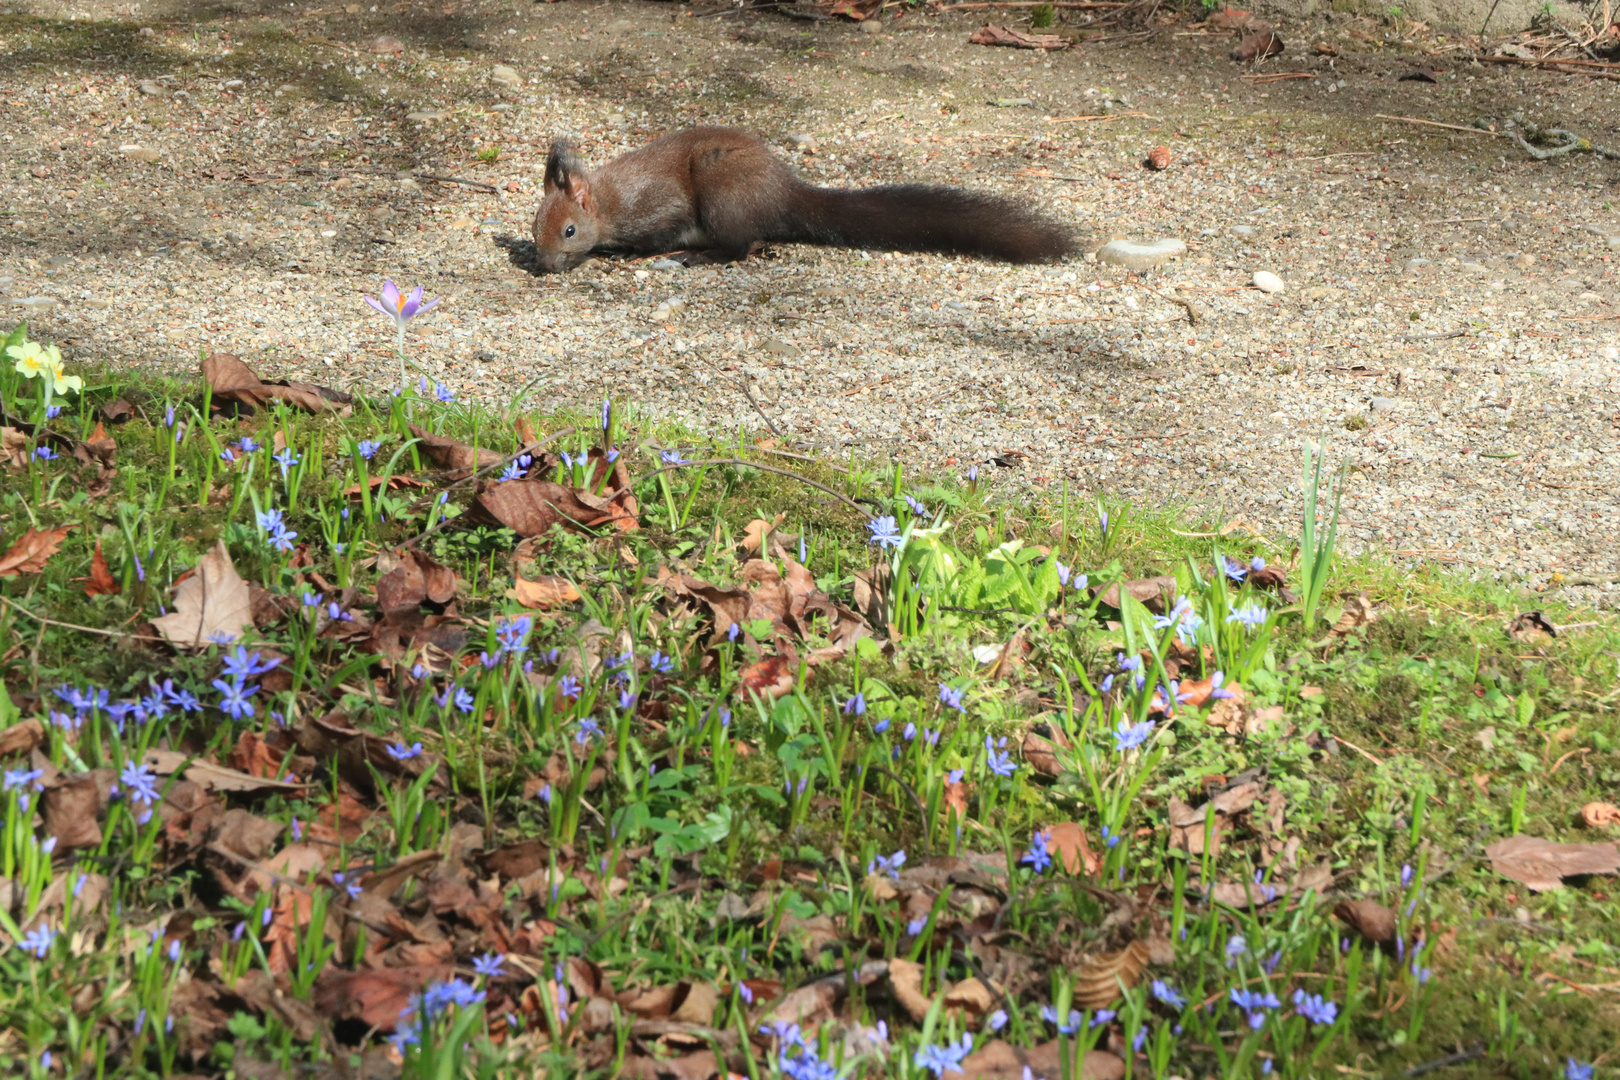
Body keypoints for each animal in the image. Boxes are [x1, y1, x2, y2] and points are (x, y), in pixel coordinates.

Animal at [531, 127, 1075, 272]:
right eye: (535, 229)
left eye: (570, 231)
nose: (543, 266)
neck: (608, 203)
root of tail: (784, 194)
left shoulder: (659, 205)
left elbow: (658, 233)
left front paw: (628, 254)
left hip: (722, 195)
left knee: (741, 244)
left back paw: (700, 255)